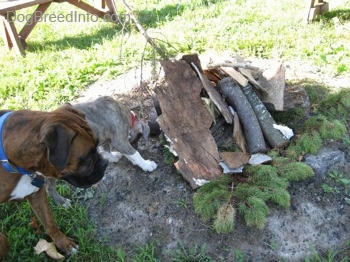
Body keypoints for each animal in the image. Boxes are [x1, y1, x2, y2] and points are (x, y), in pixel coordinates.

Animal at [0, 103, 108, 258]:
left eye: (98, 143)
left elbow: (50, 223)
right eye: (86, 157)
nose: (105, 163)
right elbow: (2, 241)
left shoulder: (36, 193)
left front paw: (64, 244)